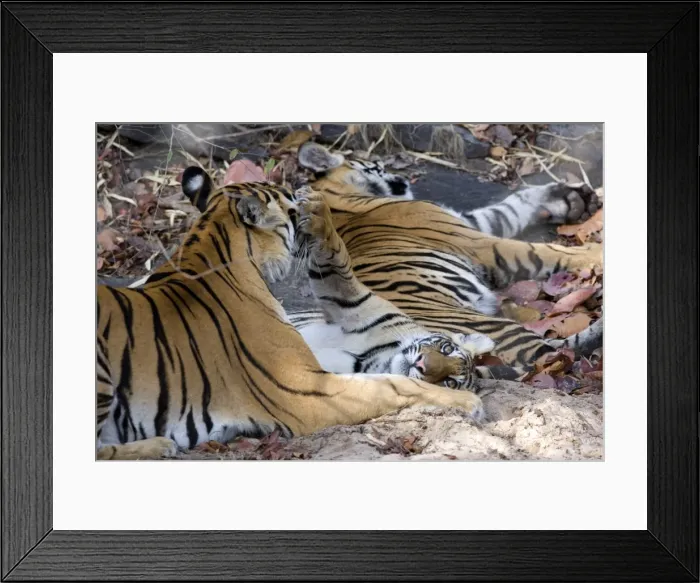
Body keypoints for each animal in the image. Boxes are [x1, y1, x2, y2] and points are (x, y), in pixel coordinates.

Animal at [289, 140, 603, 369]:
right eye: (378, 165)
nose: (404, 177)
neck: (338, 198)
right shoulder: (474, 240)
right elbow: (541, 250)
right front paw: (595, 252)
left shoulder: (472, 223)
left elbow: (514, 204)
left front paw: (569, 198)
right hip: (483, 325)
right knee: (554, 355)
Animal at [293, 188, 497, 391]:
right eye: (447, 349)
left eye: (450, 383)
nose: (421, 364)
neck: (380, 357)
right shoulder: (349, 299)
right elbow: (335, 252)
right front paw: (315, 206)